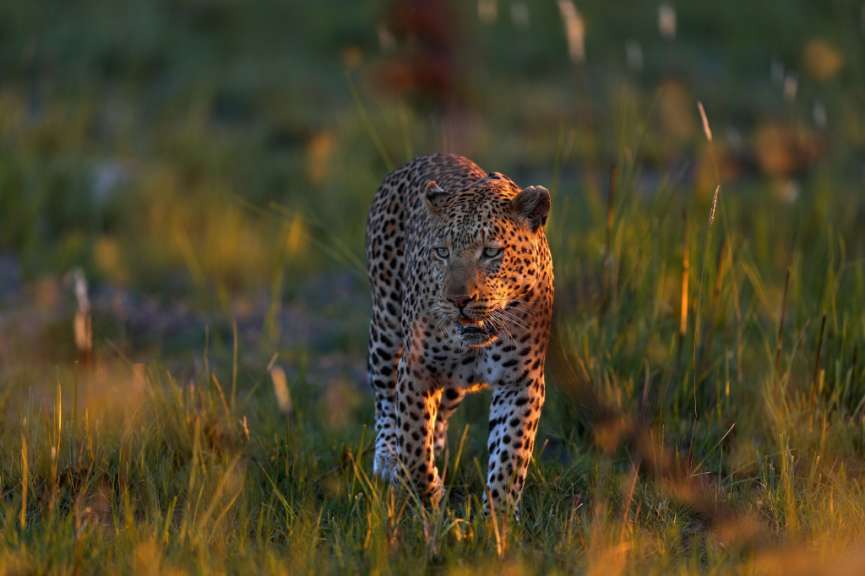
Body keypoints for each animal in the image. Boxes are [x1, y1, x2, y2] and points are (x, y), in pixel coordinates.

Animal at [365, 153, 554, 512]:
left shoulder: (521, 381)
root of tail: (430, 155)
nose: (458, 300)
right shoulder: (416, 369)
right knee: (384, 397)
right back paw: (388, 460)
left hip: (454, 385)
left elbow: (510, 453)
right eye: (442, 252)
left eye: (491, 252)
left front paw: (497, 516)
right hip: (385, 326)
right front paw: (427, 497)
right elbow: (413, 440)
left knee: (439, 416)